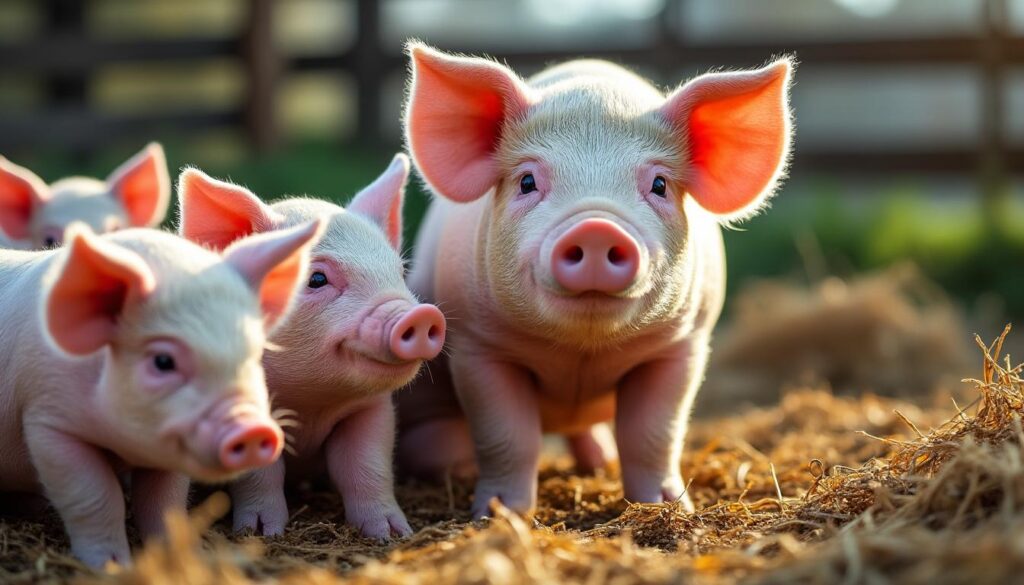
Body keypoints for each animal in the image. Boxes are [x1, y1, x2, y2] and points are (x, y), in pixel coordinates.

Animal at [0, 220, 322, 567]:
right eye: (163, 361)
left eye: (254, 354)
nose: (252, 428)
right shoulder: (49, 423)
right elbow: (95, 496)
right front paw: (113, 567)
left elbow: (164, 501)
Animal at [177, 154, 446, 539]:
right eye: (316, 278)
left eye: (398, 272)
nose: (421, 314)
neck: (310, 404)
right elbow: (261, 473)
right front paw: (262, 533)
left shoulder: (372, 410)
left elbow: (367, 465)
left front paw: (394, 534)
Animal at [396, 43, 794, 518]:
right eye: (527, 180)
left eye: (659, 184)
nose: (596, 228)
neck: (580, 353)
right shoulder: (479, 346)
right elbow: (508, 435)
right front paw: (501, 512)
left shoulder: (681, 344)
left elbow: (654, 433)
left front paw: (668, 507)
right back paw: (455, 464)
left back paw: (600, 461)